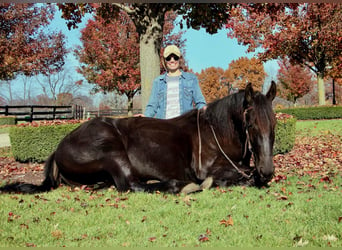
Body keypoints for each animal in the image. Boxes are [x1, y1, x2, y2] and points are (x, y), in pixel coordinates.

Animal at [0, 81, 276, 194]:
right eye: (251, 124)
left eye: (273, 123)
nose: (268, 171)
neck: (214, 133)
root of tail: (59, 148)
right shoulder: (207, 168)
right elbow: (239, 174)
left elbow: (246, 172)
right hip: (112, 151)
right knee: (130, 184)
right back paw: (178, 186)